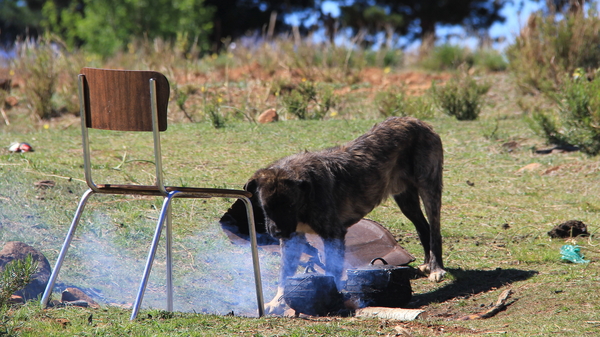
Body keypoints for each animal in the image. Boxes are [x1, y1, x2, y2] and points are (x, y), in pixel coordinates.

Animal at [245, 117, 446, 314]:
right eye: (265, 207)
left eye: (290, 206)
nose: (278, 233)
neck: (307, 194)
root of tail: (419, 122)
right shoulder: (292, 238)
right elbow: (285, 272)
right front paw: (276, 302)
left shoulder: (333, 235)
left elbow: (332, 269)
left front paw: (334, 298)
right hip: (405, 199)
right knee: (423, 228)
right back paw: (428, 264)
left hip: (429, 188)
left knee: (434, 230)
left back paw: (436, 268)